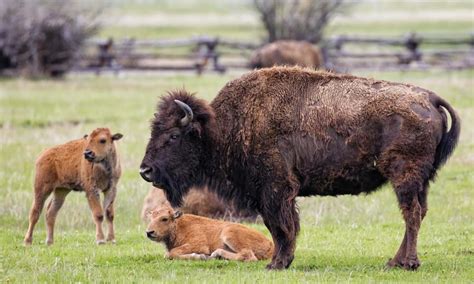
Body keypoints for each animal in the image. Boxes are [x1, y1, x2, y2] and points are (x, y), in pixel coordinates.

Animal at [144, 205, 272, 260]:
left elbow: (170, 253)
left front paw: (200, 256)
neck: (179, 226)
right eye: (151, 218)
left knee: (248, 255)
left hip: (228, 233)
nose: (149, 232)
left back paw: (216, 254)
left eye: (164, 218)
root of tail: (270, 244)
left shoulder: (199, 244)